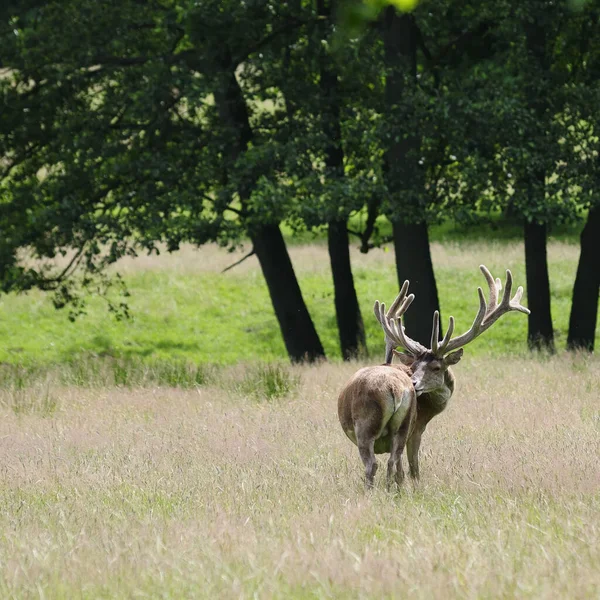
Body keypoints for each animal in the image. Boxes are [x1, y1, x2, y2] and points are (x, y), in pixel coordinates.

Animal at [338, 264, 528, 490]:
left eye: (437, 367)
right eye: (413, 366)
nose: (414, 383)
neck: (428, 411)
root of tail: (394, 389)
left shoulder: (416, 428)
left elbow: (411, 467)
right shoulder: (415, 427)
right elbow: (409, 467)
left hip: (366, 424)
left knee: (375, 464)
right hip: (396, 427)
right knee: (391, 461)